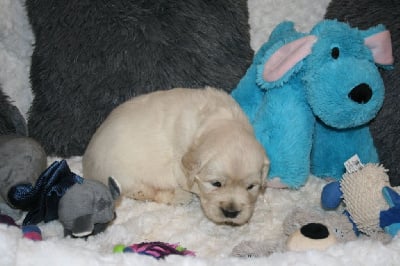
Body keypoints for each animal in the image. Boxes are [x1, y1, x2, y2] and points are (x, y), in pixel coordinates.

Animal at [81, 87, 268, 224]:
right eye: (216, 183)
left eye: (251, 186)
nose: (231, 212)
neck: (218, 121)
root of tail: (87, 168)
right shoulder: (179, 167)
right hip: (124, 176)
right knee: (146, 192)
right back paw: (179, 196)